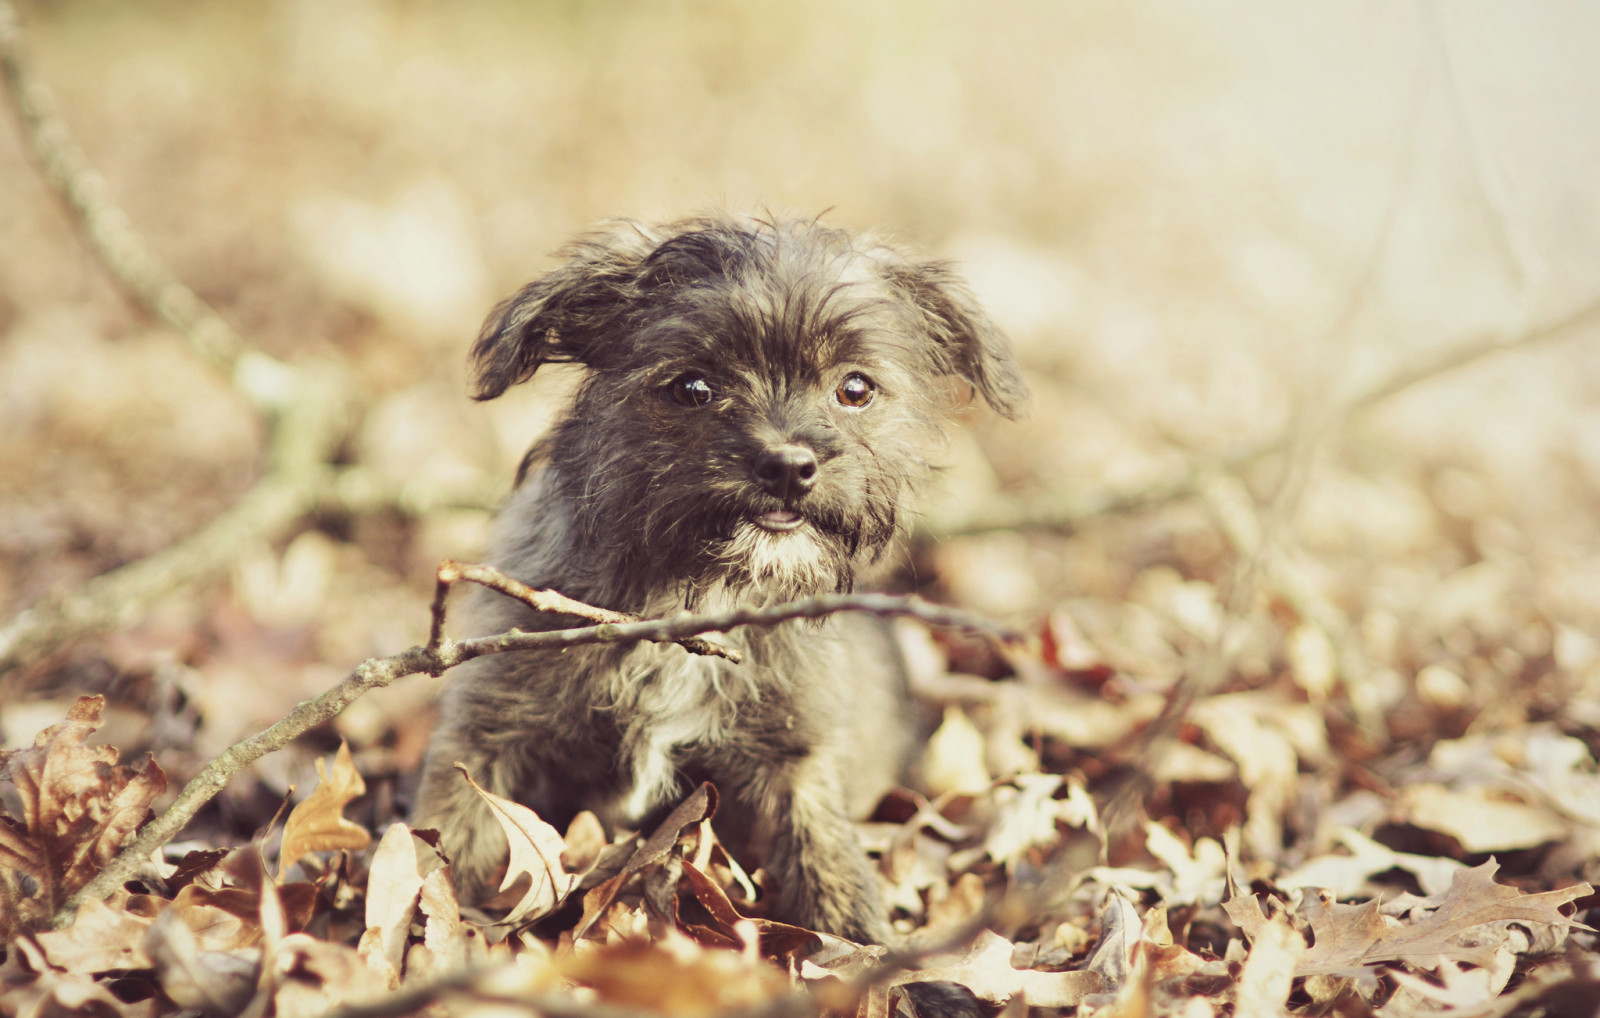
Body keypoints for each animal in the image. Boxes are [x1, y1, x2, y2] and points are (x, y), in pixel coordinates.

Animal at [406, 212, 1017, 947]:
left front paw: (861, 950)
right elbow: (445, 843)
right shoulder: (489, 732)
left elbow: (827, 864)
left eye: (856, 388)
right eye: (693, 387)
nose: (789, 466)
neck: (698, 589)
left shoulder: (796, 760)